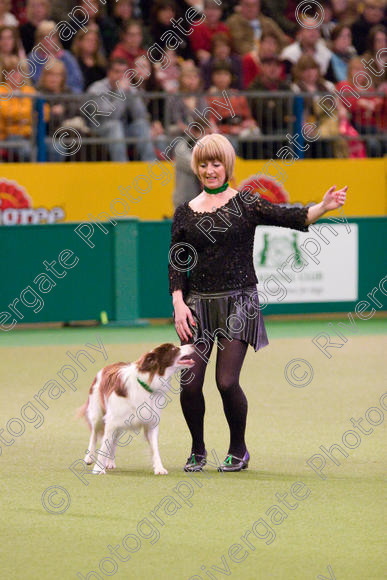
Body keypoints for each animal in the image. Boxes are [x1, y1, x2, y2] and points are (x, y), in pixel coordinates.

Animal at [79, 342, 196, 474]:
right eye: (173, 349)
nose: (193, 345)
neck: (147, 383)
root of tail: (108, 366)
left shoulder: (151, 422)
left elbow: (155, 448)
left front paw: (159, 468)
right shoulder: (112, 421)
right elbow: (104, 445)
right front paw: (98, 469)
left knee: (114, 441)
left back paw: (110, 462)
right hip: (98, 412)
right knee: (94, 434)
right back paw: (89, 458)